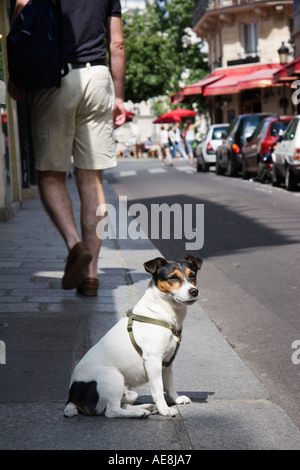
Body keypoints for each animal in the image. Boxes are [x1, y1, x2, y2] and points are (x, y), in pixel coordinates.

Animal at [64, 255, 203, 420]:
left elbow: (169, 384)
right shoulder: (153, 361)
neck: (162, 313)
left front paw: (176, 399)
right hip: (113, 377)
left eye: (192, 275)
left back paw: (145, 408)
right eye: (173, 277)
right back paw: (139, 412)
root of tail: (72, 397)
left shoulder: (168, 362)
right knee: (111, 411)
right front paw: (165, 409)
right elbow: (158, 389)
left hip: (129, 393)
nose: (194, 291)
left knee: (122, 404)